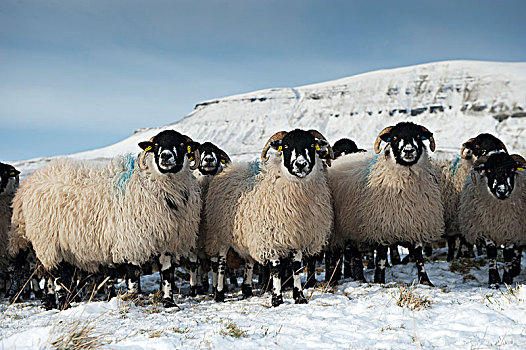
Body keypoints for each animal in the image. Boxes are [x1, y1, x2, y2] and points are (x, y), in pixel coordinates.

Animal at [10, 129, 204, 308]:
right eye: (156, 145)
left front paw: (168, 302)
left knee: (63, 274)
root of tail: (30, 182)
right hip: (48, 241)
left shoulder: (167, 240)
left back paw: (65, 301)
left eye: (181, 144)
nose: (165, 156)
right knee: (54, 275)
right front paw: (131, 299)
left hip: (64, 245)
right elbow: (133, 277)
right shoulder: (132, 240)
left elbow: (167, 274)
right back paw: (60, 303)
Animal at [205, 129, 334, 306]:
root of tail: (233, 168)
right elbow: (276, 269)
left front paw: (299, 297)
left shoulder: (296, 236)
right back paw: (219, 294)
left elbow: (296, 267)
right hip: (220, 235)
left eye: (312, 145)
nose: (300, 164)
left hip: (248, 236)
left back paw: (247, 291)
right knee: (221, 264)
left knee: (249, 262)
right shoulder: (270, 238)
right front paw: (277, 299)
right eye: (286, 146)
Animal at [460, 153, 526, 288]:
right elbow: (492, 253)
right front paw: (494, 281)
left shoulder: (512, 229)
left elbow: (508, 253)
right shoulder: (485, 229)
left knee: (518, 248)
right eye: (489, 170)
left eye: (512, 170)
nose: (502, 190)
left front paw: (507, 278)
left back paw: (515, 268)